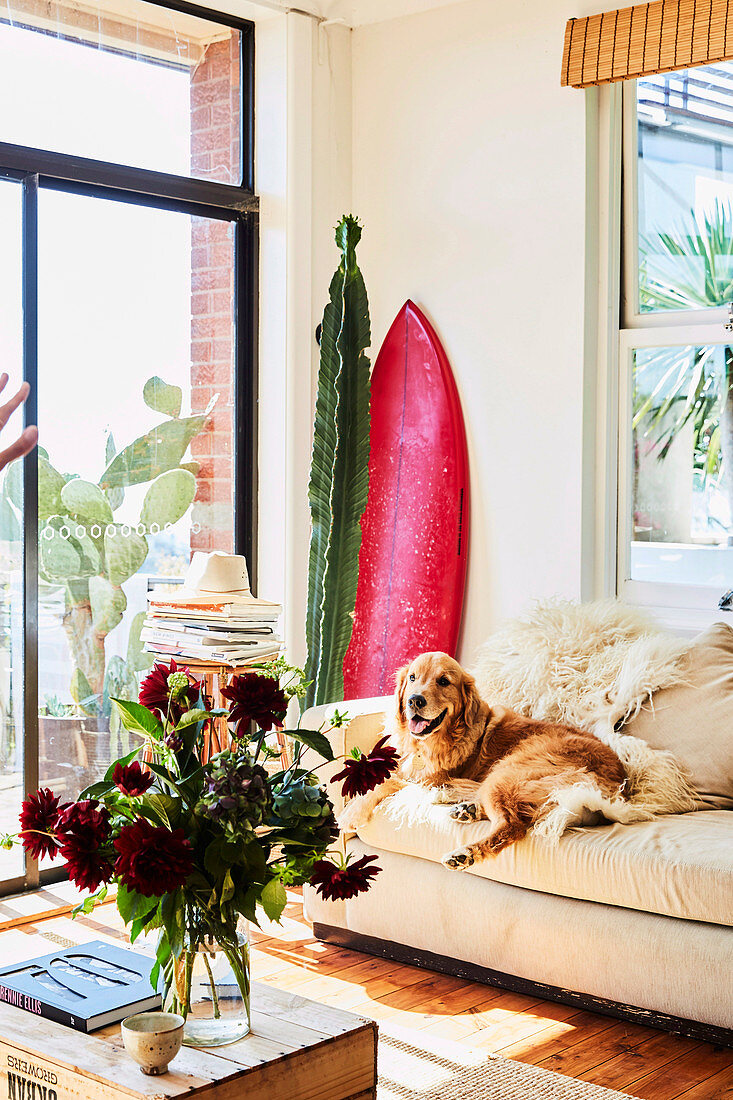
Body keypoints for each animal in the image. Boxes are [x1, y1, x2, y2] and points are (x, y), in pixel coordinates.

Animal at [338, 651, 629, 866]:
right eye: (412, 677)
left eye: (443, 681)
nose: (415, 700)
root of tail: (616, 788)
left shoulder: (429, 777)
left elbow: (386, 782)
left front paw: (351, 813)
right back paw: (466, 808)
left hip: (508, 770)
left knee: (513, 825)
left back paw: (465, 852)